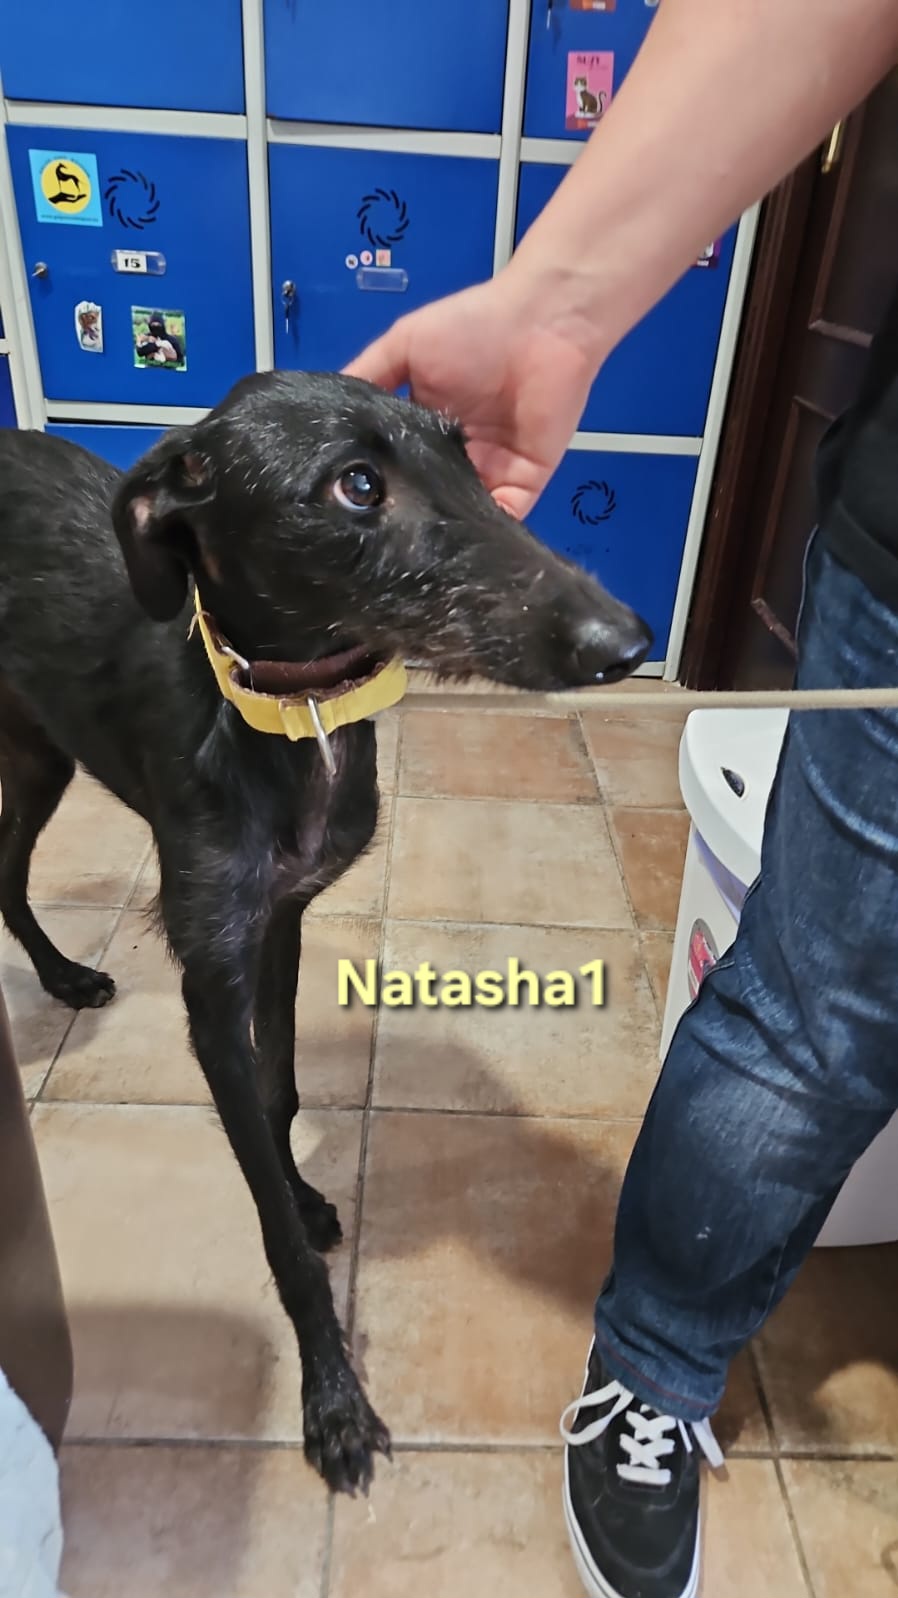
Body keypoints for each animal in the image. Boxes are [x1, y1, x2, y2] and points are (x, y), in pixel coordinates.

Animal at [0, 370, 651, 1492]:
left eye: (462, 450)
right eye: (356, 485)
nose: (629, 643)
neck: (285, 722)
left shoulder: (283, 922)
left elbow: (283, 1089)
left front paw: (304, 1188)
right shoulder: (209, 984)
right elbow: (274, 1225)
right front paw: (334, 1401)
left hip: (41, 750)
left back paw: (64, 975)